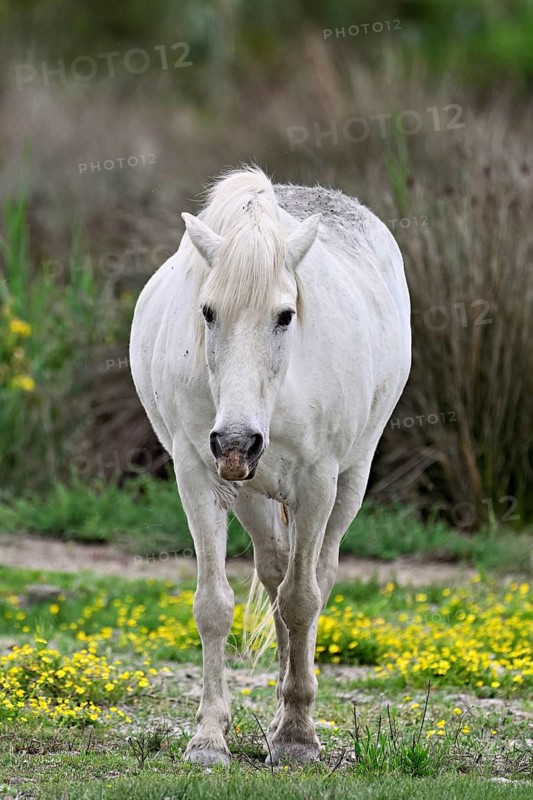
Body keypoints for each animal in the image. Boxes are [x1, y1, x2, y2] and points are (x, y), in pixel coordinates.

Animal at [129, 166, 411, 766]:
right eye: (207, 312)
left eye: (285, 315)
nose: (236, 442)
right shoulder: (199, 476)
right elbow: (215, 604)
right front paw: (210, 738)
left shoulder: (318, 483)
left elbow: (304, 600)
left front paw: (298, 737)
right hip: (254, 497)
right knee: (277, 576)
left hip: (349, 481)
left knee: (313, 580)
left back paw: (291, 714)